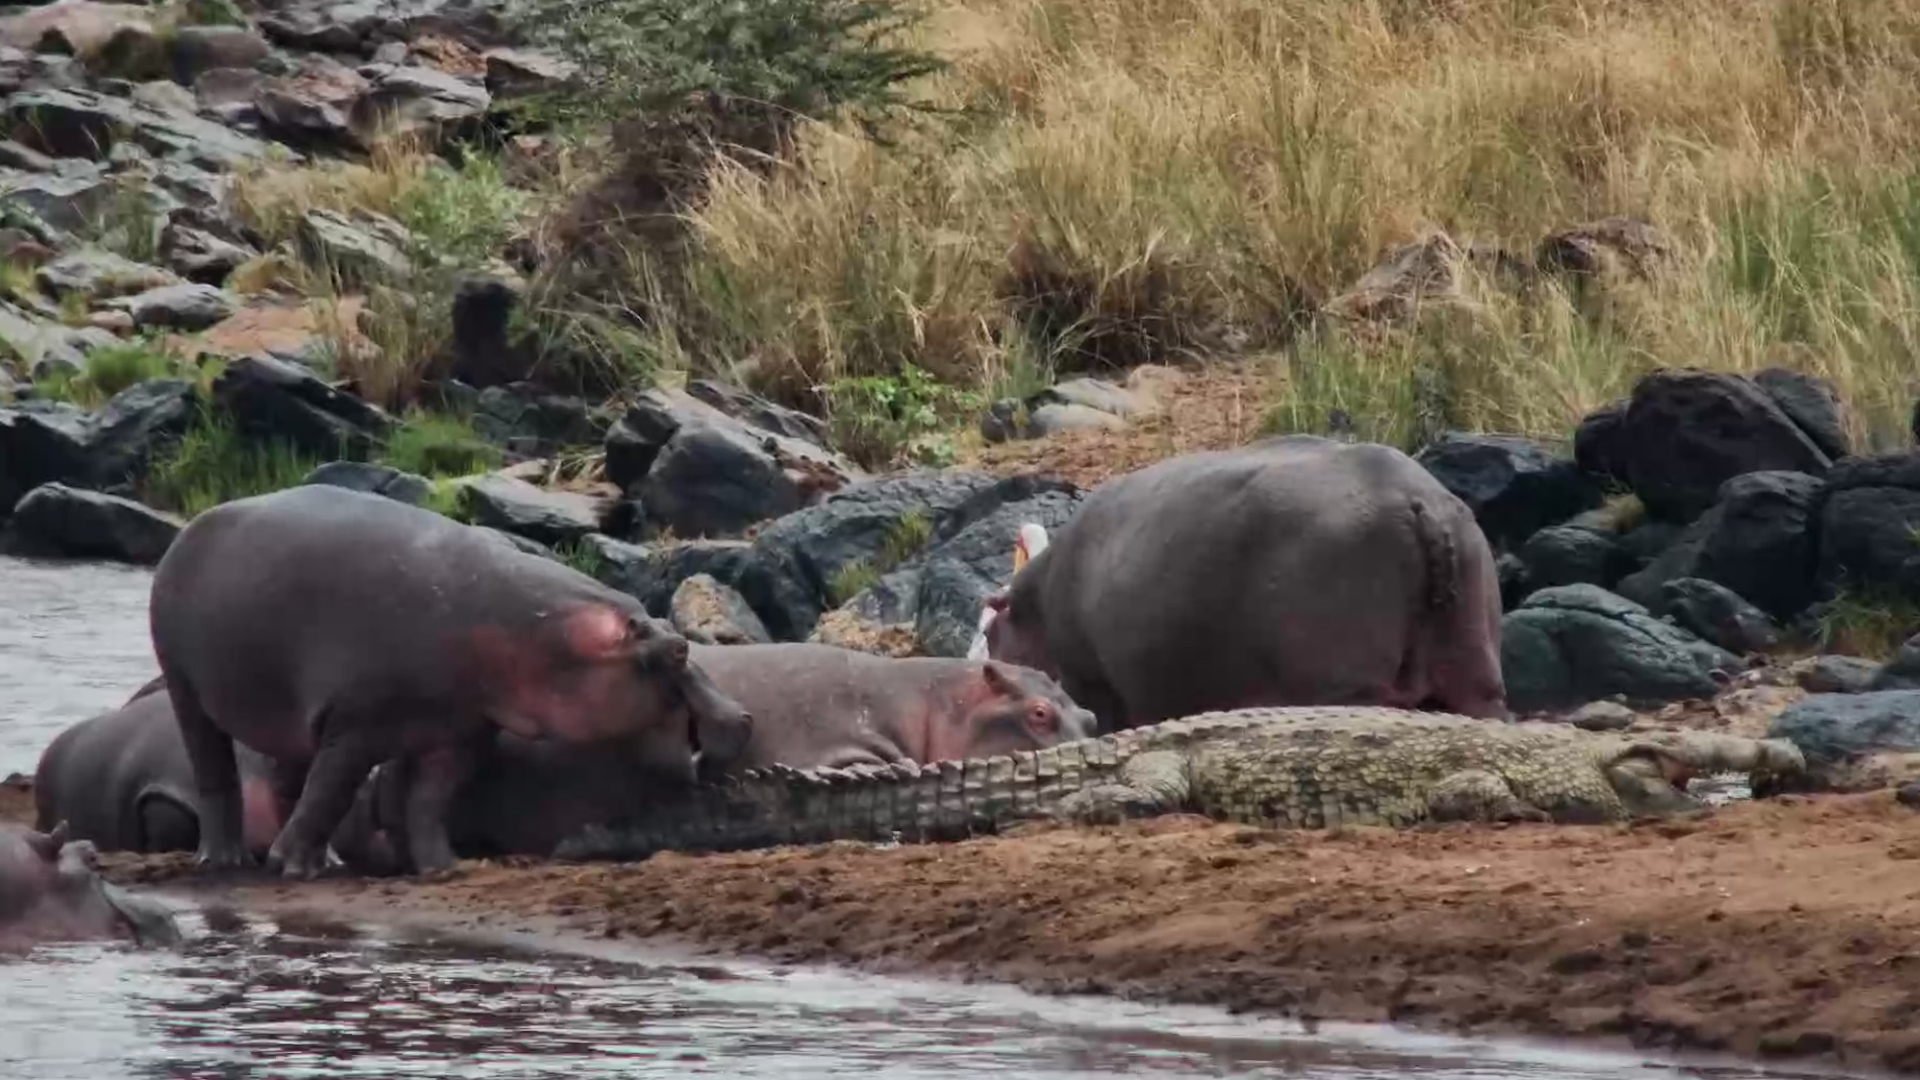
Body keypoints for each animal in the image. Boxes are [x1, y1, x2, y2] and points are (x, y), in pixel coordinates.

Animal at [149, 484, 754, 879]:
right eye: (678, 650)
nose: (745, 718)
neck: (525, 631)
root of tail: (195, 524)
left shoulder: (459, 733)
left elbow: (428, 801)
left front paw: (446, 869)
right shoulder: (354, 727)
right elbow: (332, 789)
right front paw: (291, 868)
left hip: (288, 718)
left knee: (288, 777)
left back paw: (326, 859)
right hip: (184, 684)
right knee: (215, 769)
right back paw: (229, 860)